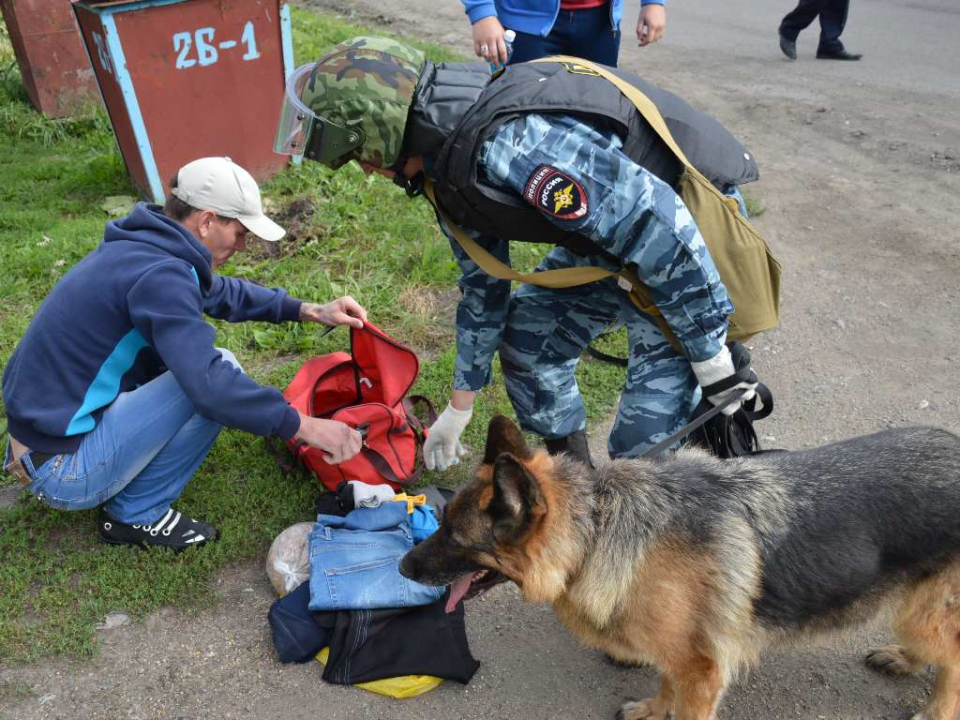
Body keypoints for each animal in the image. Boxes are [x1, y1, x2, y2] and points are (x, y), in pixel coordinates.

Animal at [400, 416, 960, 720]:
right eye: (440, 521)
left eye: (454, 536)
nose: (402, 565)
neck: (595, 530)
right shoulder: (681, 654)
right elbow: (665, 682)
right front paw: (654, 708)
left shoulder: (702, 671)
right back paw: (906, 660)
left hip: (925, 610)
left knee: (952, 657)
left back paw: (936, 706)